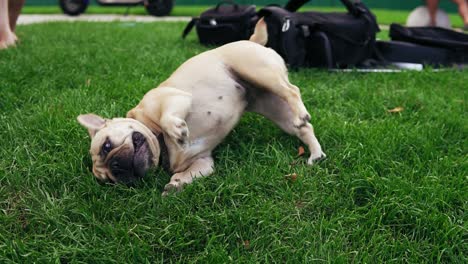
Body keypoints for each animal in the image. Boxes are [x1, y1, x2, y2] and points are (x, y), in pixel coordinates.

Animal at [77, 19, 326, 195]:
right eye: (109, 180)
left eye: (106, 146)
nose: (116, 167)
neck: (160, 144)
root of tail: (252, 40)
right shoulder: (202, 162)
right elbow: (191, 174)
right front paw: (176, 184)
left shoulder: (174, 98)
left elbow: (168, 118)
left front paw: (177, 131)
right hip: (275, 109)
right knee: (303, 128)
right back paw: (315, 153)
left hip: (258, 71)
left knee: (292, 90)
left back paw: (301, 114)